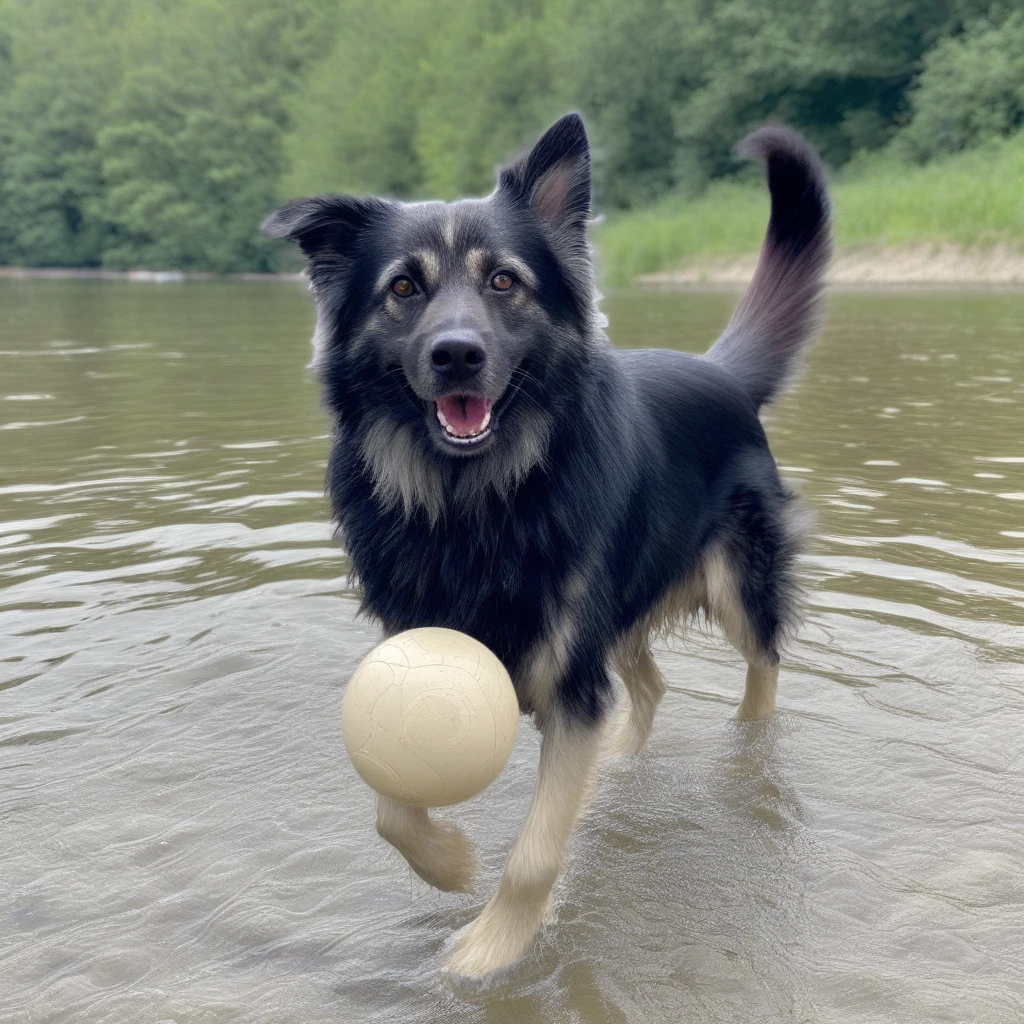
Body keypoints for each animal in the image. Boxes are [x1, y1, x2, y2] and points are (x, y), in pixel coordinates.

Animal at [262, 110, 831, 974]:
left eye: (504, 281)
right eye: (404, 288)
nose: (456, 355)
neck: (475, 503)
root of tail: (723, 373)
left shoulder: (569, 687)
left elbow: (533, 854)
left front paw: (489, 953)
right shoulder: (418, 644)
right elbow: (391, 804)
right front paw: (450, 862)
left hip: (735, 588)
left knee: (762, 672)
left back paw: (745, 759)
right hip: (615, 611)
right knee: (650, 687)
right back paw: (620, 766)